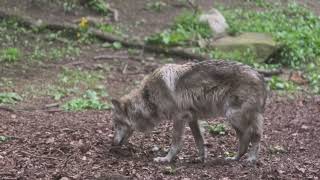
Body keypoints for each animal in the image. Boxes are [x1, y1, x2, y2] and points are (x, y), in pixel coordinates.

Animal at [111, 60, 266, 163]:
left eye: (116, 125)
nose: (113, 143)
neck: (148, 98)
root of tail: (260, 77)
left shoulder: (179, 118)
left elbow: (175, 142)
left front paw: (166, 159)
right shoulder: (192, 118)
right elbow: (199, 141)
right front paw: (201, 158)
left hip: (233, 116)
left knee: (255, 134)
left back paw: (251, 159)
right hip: (235, 118)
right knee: (246, 138)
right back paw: (235, 158)